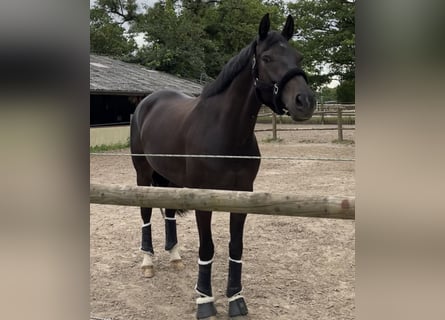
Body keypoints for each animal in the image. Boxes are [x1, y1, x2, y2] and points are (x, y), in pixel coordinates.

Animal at [130, 13, 314, 320]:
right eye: (267, 58)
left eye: (298, 56)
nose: (305, 101)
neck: (226, 133)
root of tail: (146, 102)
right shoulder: (203, 199)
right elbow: (207, 248)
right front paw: (204, 300)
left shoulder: (241, 195)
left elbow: (235, 246)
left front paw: (236, 298)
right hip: (143, 174)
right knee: (145, 212)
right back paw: (148, 262)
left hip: (170, 179)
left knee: (169, 212)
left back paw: (175, 256)